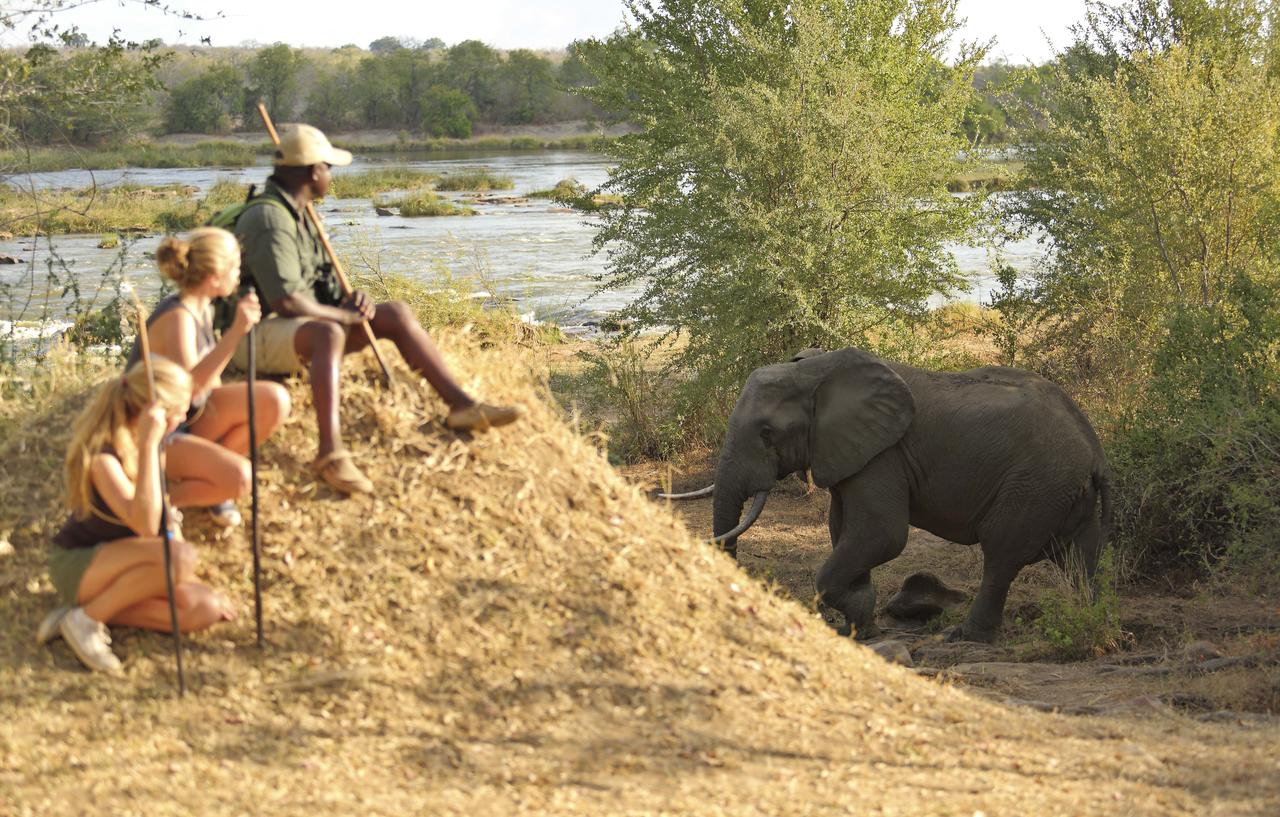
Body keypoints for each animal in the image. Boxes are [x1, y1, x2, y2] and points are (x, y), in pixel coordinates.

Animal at [680, 348, 1111, 642]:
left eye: (767, 433)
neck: (816, 371)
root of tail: (1096, 451)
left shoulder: (883, 455)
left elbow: (881, 534)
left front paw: (858, 617)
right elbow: (843, 529)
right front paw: (860, 627)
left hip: (1035, 485)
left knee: (1002, 554)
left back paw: (964, 637)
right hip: (1061, 491)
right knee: (1079, 557)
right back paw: (1090, 619)